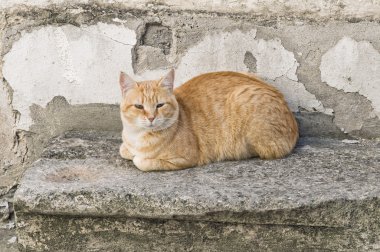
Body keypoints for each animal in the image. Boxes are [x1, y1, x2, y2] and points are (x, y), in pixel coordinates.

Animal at [120, 69, 298, 171]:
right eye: (139, 106)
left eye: (160, 105)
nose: (151, 117)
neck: (137, 137)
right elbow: (124, 150)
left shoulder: (186, 159)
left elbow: (141, 161)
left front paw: (138, 157)